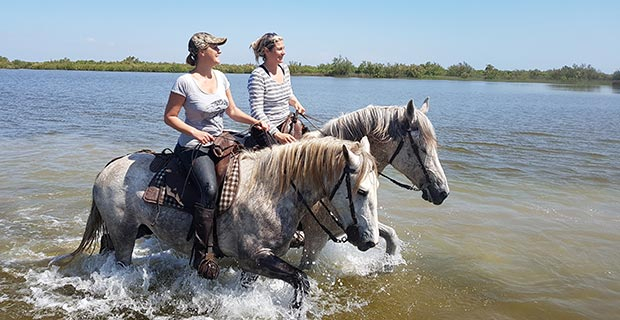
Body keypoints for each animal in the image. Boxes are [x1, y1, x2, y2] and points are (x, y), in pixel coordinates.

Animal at [53, 135, 380, 308]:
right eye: (362, 191)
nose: (370, 240)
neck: (272, 189)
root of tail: (109, 168)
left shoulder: (256, 264)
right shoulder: (256, 258)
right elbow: (302, 279)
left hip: (128, 233)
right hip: (123, 235)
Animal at [298, 99, 448, 268]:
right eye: (421, 148)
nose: (443, 192)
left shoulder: (364, 226)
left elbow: (391, 235)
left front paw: (388, 264)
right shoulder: (314, 240)